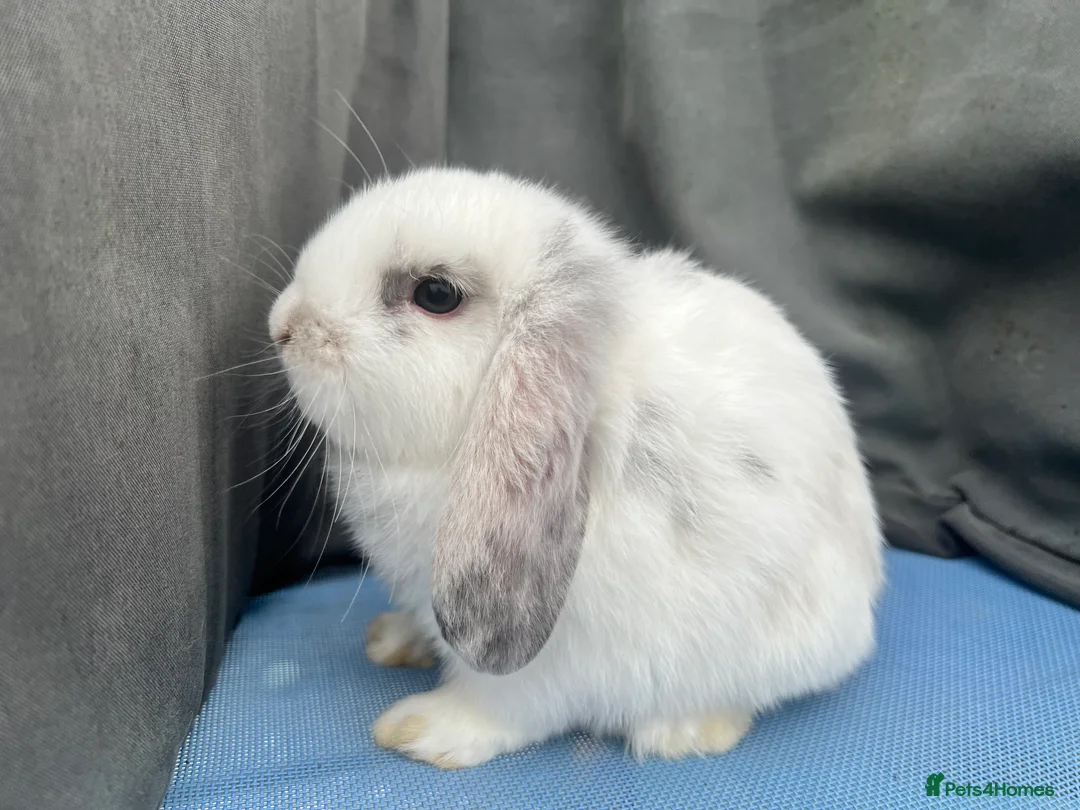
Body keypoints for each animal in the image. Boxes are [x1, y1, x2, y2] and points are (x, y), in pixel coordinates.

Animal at [267, 166, 884, 769]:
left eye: (436, 294)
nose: (282, 324)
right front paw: (392, 640)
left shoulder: (546, 663)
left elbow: (501, 707)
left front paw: (420, 728)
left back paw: (686, 731)